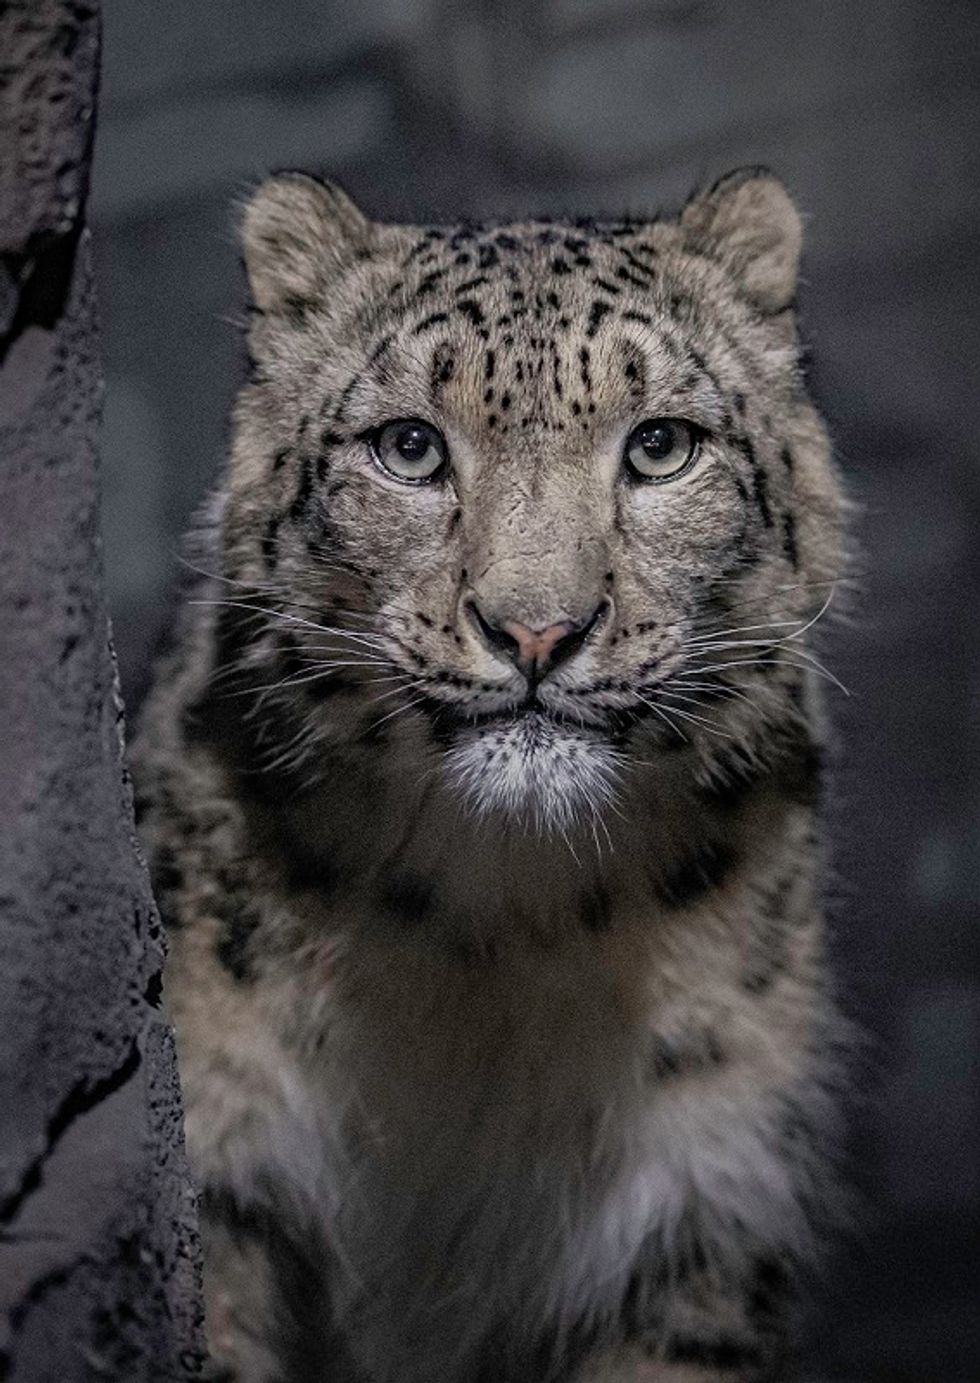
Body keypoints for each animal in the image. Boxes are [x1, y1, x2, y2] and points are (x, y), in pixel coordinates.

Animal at [132, 166, 850, 1383]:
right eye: (410, 447)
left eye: (660, 444)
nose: (536, 631)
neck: (504, 933)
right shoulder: (223, 1178)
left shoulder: (701, 1208)